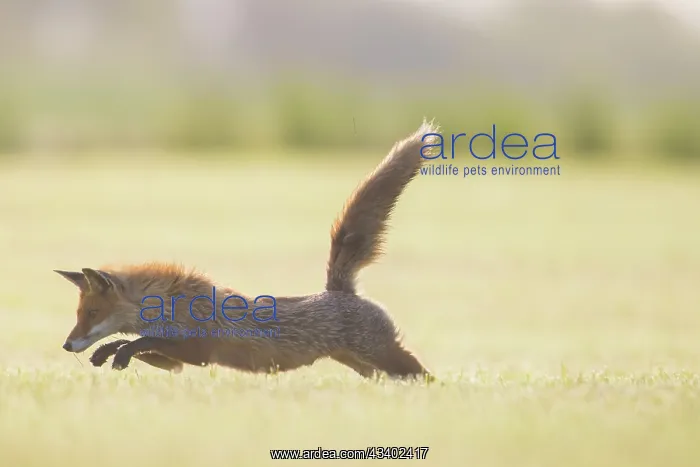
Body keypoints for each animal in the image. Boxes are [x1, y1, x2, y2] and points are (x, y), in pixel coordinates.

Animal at [56, 120, 439, 381]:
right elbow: (140, 344)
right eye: (80, 313)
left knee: (429, 378)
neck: (172, 305)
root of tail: (339, 288)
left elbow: (142, 340)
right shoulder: (176, 362)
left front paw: (117, 352)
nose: (66, 346)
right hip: (367, 367)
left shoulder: (199, 351)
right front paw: (107, 353)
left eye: (92, 312)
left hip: (386, 358)